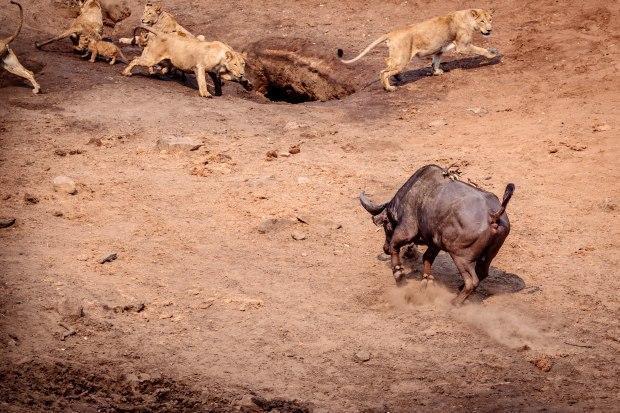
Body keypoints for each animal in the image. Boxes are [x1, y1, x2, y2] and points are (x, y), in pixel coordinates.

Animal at [122, 26, 251, 98]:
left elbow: (222, 81)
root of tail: (162, 33)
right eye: (235, 64)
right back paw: (126, 72)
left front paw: (246, 84)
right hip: (152, 59)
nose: (242, 73)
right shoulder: (200, 67)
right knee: (135, 59)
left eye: (243, 64)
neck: (222, 59)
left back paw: (161, 74)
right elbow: (203, 81)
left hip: (164, 60)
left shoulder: (215, 71)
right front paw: (205, 93)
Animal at [336, 8, 502, 91]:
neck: (468, 18)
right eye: (482, 21)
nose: (490, 30)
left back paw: (398, 78)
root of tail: (391, 33)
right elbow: (480, 49)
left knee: (387, 63)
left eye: (490, 19)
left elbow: (435, 61)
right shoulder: (463, 46)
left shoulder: (439, 48)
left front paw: (437, 72)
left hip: (398, 57)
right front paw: (492, 54)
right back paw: (390, 88)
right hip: (402, 58)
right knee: (383, 71)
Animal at [358, 163, 512, 302]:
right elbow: (427, 258)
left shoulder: (406, 230)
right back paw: (459, 288)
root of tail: (493, 215)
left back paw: (455, 302)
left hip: (460, 257)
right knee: (482, 272)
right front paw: (427, 280)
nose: (384, 248)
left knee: (472, 281)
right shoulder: (435, 243)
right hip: (488, 256)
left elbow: (395, 246)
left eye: (386, 225)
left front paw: (399, 274)